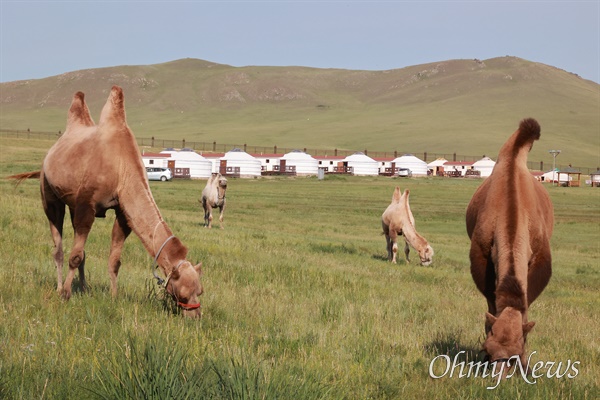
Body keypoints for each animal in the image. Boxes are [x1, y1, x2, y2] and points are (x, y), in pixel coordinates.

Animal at [8, 86, 204, 318]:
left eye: (200, 291)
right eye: (183, 292)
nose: (195, 316)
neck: (121, 167)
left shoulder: (121, 211)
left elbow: (114, 260)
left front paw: (113, 297)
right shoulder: (87, 205)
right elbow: (75, 255)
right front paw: (65, 294)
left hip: (72, 204)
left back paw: (84, 288)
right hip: (49, 194)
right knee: (59, 246)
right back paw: (59, 287)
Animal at [466, 118, 556, 372]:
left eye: (518, 351)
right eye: (487, 348)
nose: (499, 375)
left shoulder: (540, 259)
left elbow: (526, 305)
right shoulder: (481, 257)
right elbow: (490, 303)